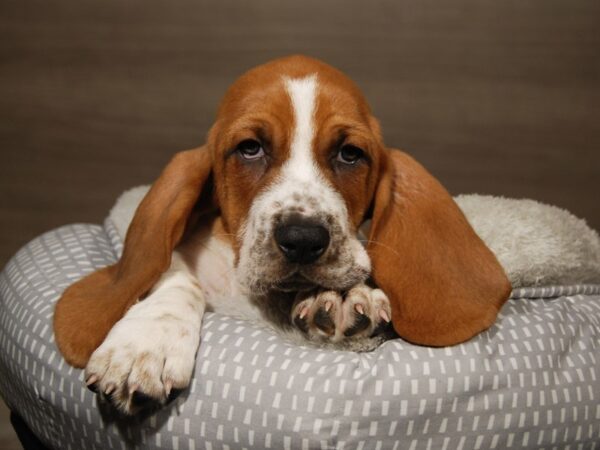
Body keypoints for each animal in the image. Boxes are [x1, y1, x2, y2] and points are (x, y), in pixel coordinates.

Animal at [52, 55, 510, 414]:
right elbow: (177, 277)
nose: (303, 239)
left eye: (350, 154)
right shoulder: (186, 261)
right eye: (250, 148)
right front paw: (144, 344)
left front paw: (345, 297)